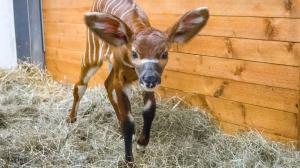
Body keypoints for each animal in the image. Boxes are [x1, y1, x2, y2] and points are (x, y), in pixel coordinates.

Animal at [67, 0, 210, 163]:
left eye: (164, 53)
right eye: (135, 53)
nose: (150, 78)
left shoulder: (142, 83)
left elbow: (149, 110)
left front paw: (141, 144)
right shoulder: (121, 79)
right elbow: (128, 121)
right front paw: (129, 160)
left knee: (107, 85)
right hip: (93, 56)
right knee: (81, 85)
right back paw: (71, 119)